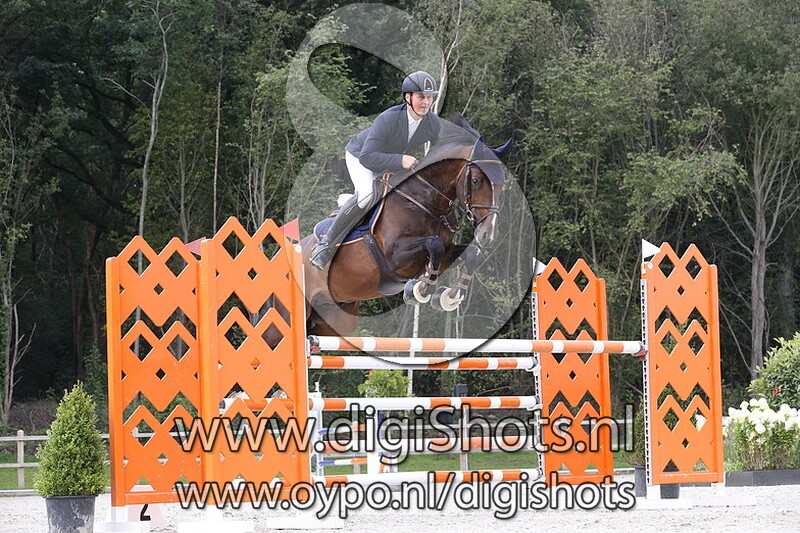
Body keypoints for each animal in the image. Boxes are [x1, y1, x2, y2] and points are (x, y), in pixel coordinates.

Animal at [300, 114, 512, 337]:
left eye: (502, 184)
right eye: (476, 180)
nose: (488, 234)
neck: (427, 201)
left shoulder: (444, 253)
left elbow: (471, 253)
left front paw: (450, 296)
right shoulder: (394, 258)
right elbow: (434, 243)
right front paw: (422, 290)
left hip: (334, 319)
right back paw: (320, 254)